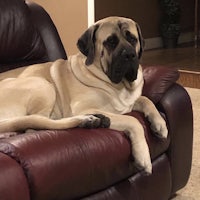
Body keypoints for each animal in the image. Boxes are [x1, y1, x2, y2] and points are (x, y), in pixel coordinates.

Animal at [0, 17, 167, 173]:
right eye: (110, 42)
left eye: (132, 39)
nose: (130, 55)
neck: (119, 85)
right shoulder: (85, 107)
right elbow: (133, 120)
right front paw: (143, 156)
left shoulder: (130, 101)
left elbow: (146, 99)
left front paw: (160, 124)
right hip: (42, 84)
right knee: (37, 123)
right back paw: (89, 120)